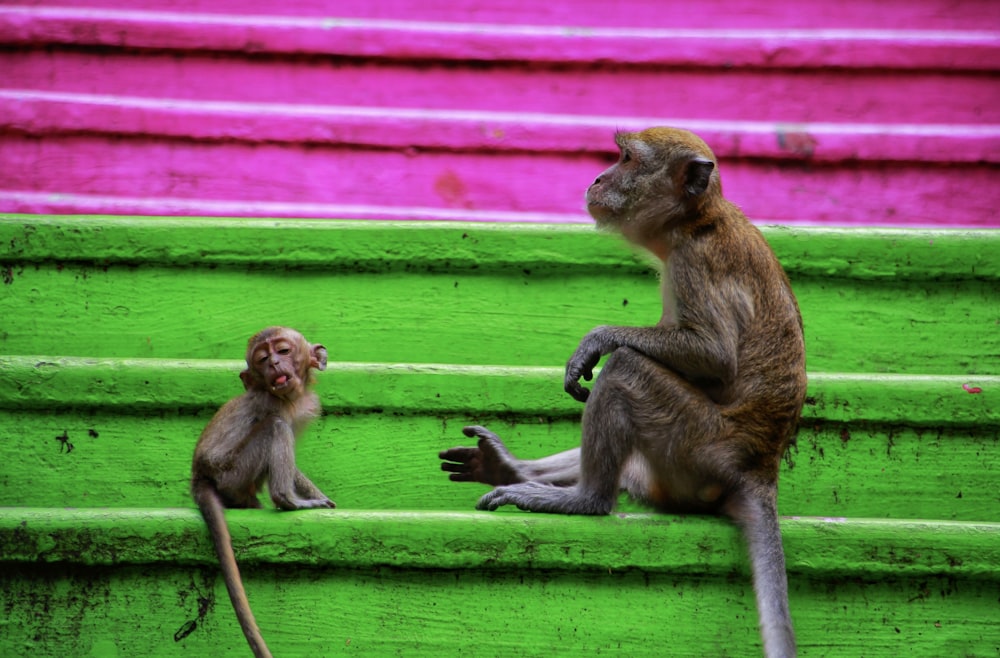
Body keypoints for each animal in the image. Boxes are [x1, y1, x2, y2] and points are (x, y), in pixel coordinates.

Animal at [191, 326, 336, 656]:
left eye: (282, 351)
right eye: (262, 358)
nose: (274, 364)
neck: (288, 396)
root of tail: (199, 475)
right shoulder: (271, 404)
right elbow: (279, 426)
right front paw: (304, 499)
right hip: (233, 472)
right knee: (275, 427)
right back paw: (288, 501)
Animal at [442, 128, 808, 656]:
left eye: (628, 159)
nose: (597, 178)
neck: (695, 222)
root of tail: (759, 468)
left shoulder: (694, 263)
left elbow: (714, 354)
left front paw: (597, 340)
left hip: (697, 444)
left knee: (626, 369)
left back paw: (585, 500)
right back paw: (511, 469)